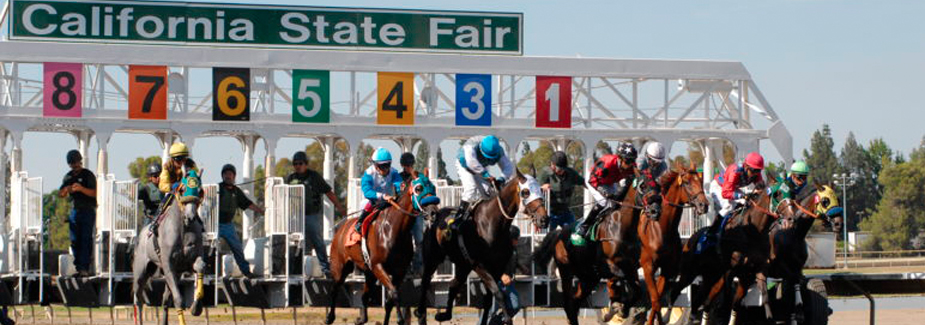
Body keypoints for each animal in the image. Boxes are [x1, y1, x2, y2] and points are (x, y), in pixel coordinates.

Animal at [132, 170, 206, 324]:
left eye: (200, 190)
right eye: (182, 189)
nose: (190, 217)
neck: (183, 229)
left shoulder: (188, 262)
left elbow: (200, 266)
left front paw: (197, 308)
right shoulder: (168, 266)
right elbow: (178, 300)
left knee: (165, 300)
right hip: (141, 272)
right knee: (138, 299)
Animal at [324, 172, 440, 324]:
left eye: (433, 187)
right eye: (418, 188)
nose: (433, 213)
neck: (394, 230)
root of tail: (340, 228)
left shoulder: (399, 271)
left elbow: (390, 300)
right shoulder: (378, 266)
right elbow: (394, 293)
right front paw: (400, 319)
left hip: (369, 273)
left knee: (364, 296)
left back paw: (361, 319)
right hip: (340, 266)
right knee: (334, 288)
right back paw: (329, 317)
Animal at [418, 170, 548, 324]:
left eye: (540, 189)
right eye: (526, 192)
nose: (544, 219)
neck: (491, 223)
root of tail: (435, 215)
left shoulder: (497, 267)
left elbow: (488, 300)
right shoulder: (479, 265)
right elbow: (498, 292)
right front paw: (506, 319)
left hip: (463, 265)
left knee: (453, 284)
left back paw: (444, 315)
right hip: (433, 258)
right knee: (425, 282)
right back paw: (420, 314)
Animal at [640, 166, 712, 322]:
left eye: (701, 182)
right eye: (686, 182)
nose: (704, 205)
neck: (661, 229)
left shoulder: (667, 268)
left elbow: (657, 300)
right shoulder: (648, 267)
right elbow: (655, 300)